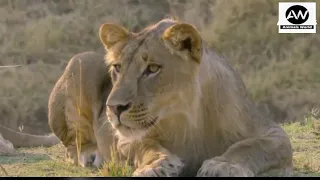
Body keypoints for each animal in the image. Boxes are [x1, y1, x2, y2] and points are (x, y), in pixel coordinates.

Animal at [98, 18, 292, 177]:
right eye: (117, 67)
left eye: (153, 68)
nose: (114, 108)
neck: (187, 117)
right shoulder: (124, 141)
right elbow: (146, 146)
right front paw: (155, 166)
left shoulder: (273, 132)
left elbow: (248, 146)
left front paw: (223, 165)